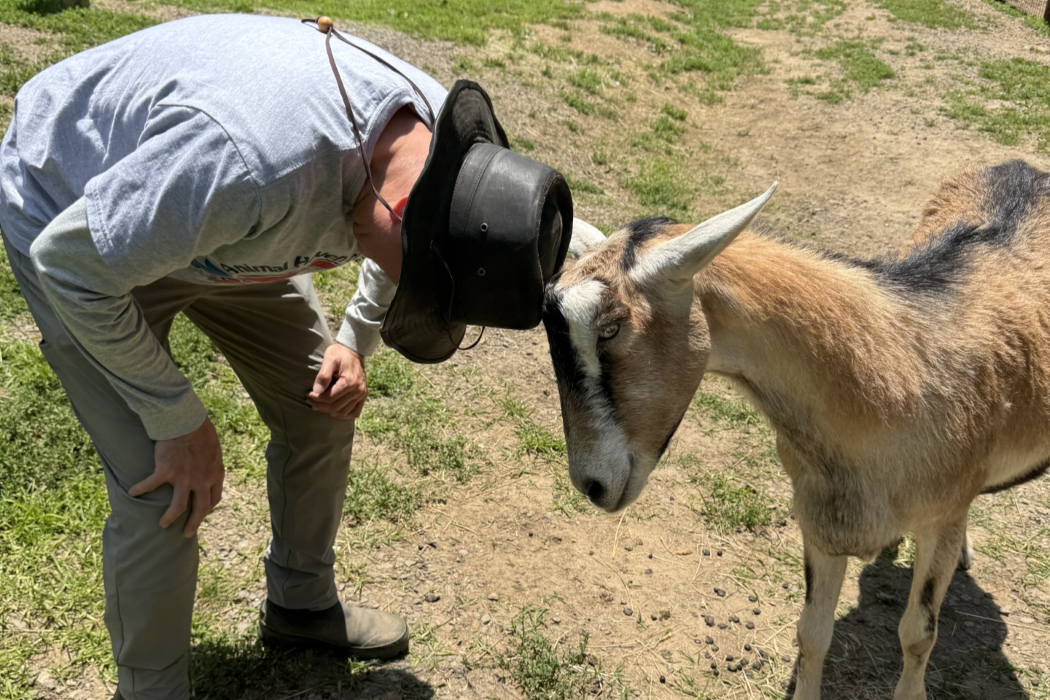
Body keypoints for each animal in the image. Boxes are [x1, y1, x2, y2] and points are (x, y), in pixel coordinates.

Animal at [546, 160, 1050, 700]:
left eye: (612, 327)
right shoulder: (819, 516)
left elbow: (917, 633)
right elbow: (811, 633)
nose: (591, 484)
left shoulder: (941, 517)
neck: (896, 371)